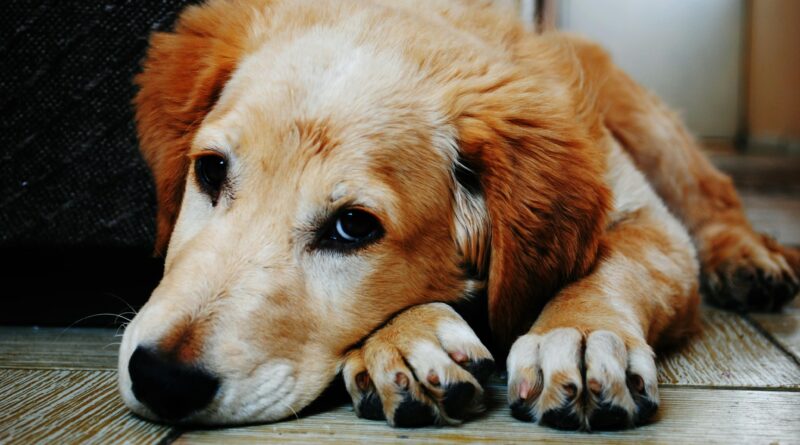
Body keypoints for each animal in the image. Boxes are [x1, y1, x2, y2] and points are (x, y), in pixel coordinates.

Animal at [119, 0, 800, 430]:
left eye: (353, 227)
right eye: (210, 171)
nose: (160, 379)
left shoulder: (648, 223)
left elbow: (613, 268)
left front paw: (578, 334)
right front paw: (407, 341)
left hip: (648, 125)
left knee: (714, 197)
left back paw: (749, 259)